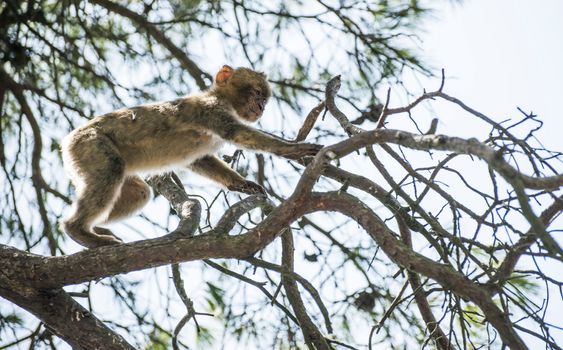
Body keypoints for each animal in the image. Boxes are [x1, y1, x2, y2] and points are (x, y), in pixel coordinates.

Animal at [61, 64, 322, 247]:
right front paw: (290, 149)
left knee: (139, 193)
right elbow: (235, 133)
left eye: (264, 99)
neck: (224, 99)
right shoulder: (211, 108)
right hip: (90, 144)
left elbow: (200, 160)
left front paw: (241, 184)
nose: (261, 108)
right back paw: (77, 230)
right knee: (112, 169)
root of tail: (68, 140)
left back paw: (91, 228)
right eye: (257, 93)